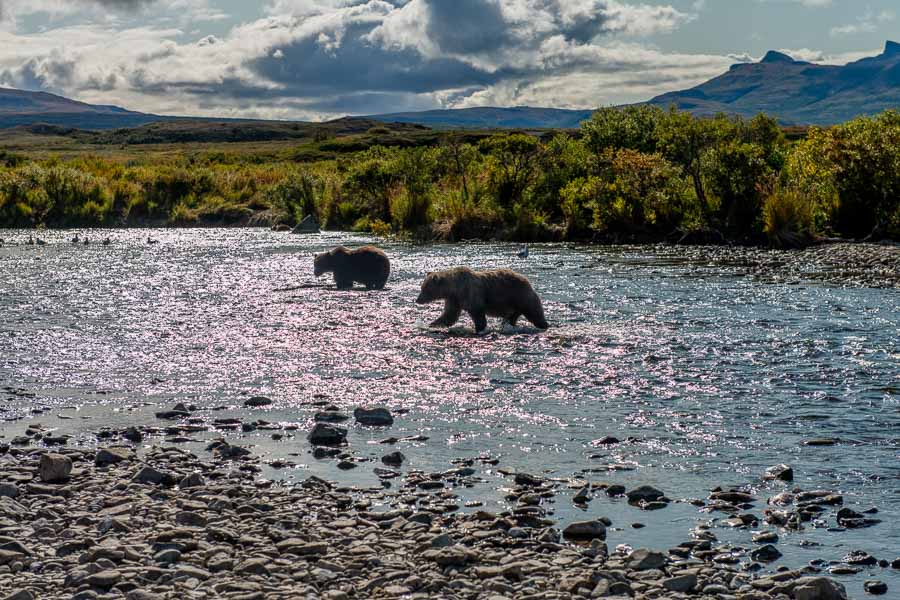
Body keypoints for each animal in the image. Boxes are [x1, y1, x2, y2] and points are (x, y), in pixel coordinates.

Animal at [415, 267, 549, 333]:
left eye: (424, 288)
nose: (417, 300)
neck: (454, 288)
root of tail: (526, 279)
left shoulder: (470, 294)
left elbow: (476, 312)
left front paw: (479, 328)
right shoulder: (454, 299)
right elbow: (449, 315)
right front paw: (431, 324)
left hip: (520, 294)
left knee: (534, 311)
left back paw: (544, 324)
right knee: (512, 316)